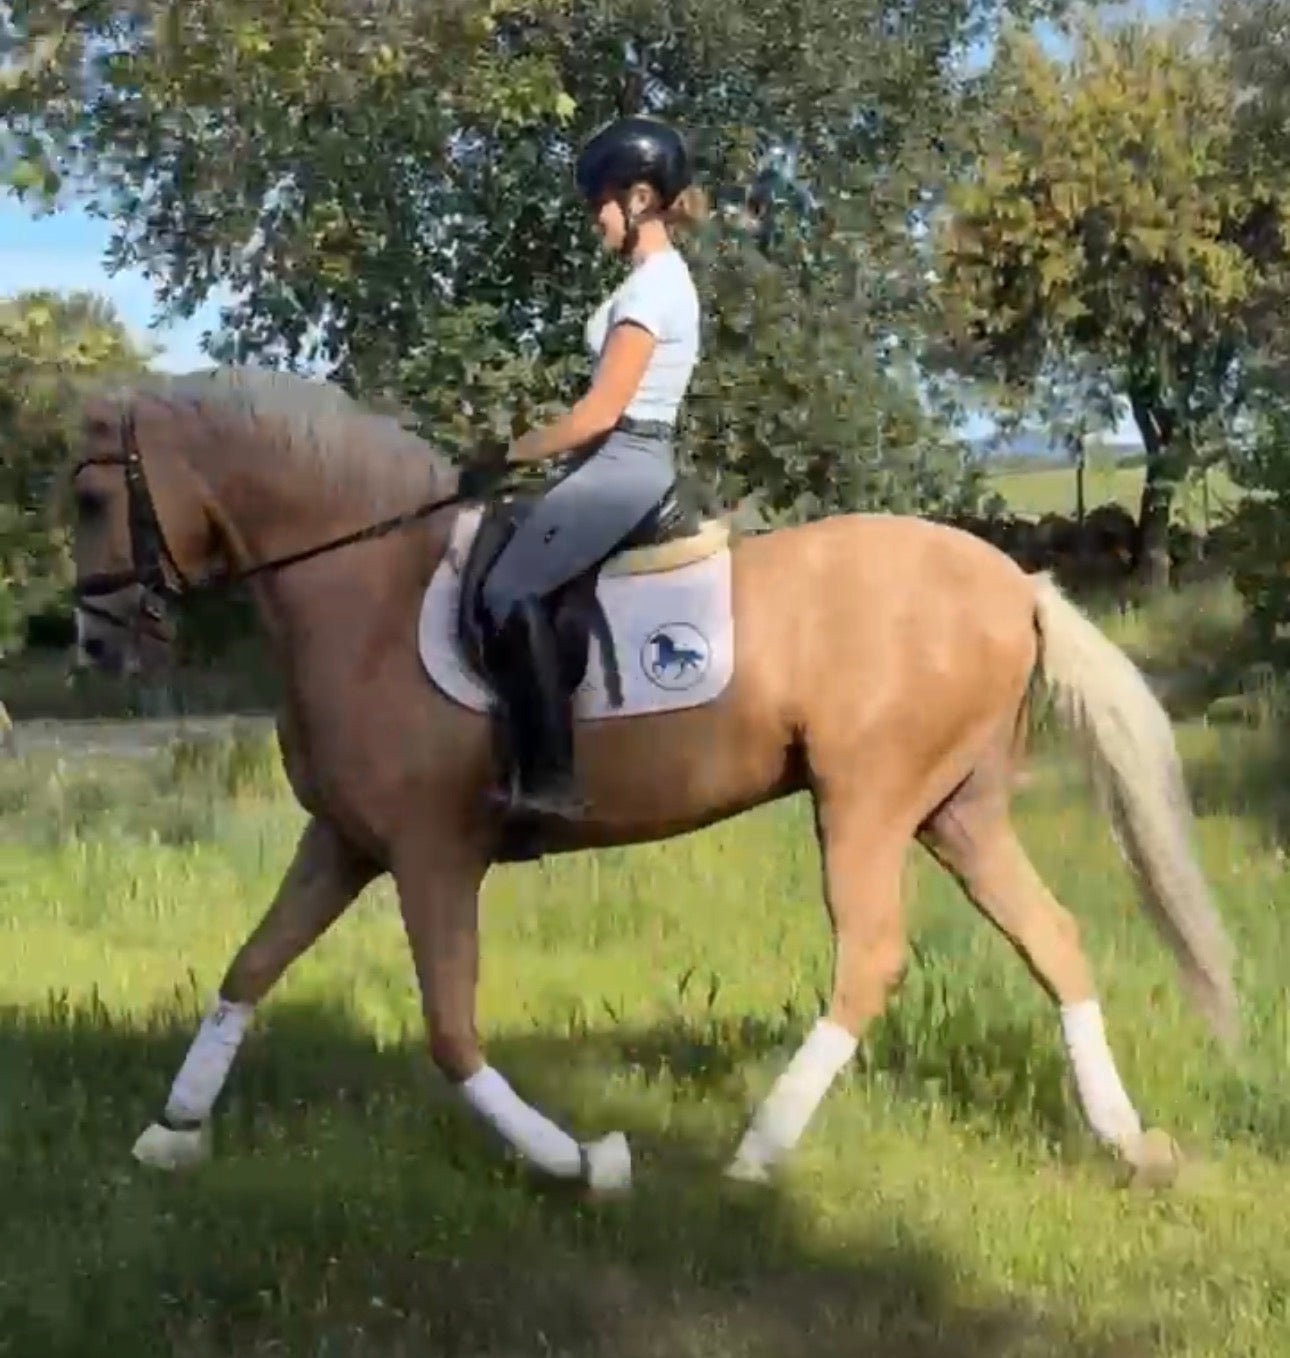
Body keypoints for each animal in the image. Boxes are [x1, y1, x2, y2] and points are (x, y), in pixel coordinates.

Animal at [67, 366, 1237, 1193]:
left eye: (86, 500)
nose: (95, 643)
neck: (367, 590)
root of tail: (1015, 581)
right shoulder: (345, 842)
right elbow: (250, 966)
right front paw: (172, 1129)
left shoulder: (431, 853)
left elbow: (451, 1030)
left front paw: (585, 1161)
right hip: (958, 809)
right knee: (1053, 937)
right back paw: (1127, 1140)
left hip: (867, 801)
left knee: (872, 958)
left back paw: (758, 1150)